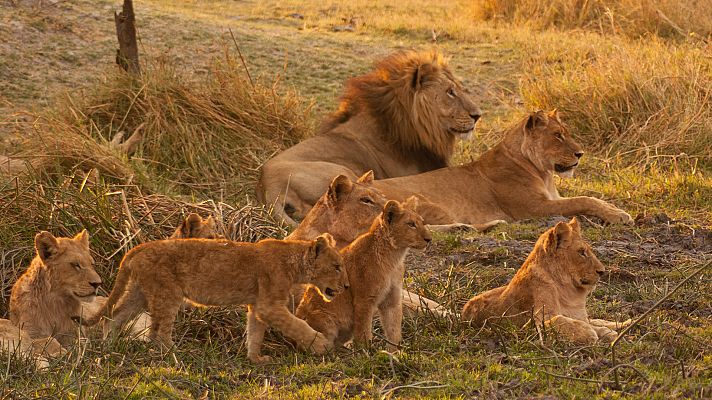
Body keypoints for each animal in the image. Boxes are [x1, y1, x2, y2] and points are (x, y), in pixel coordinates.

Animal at [82, 233, 349, 364]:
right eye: (336, 266)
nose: (346, 286)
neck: (295, 262)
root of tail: (137, 248)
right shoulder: (270, 305)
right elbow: (297, 325)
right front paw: (321, 345)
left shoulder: (258, 306)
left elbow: (255, 332)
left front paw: (256, 359)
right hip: (167, 294)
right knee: (157, 333)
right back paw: (178, 353)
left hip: (140, 294)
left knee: (115, 317)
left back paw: (109, 346)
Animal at [296, 198, 432, 349]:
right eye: (411, 224)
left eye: (422, 222)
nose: (429, 239)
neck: (394, 257)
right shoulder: (364, 299)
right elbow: (363, 330)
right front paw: (366, 352)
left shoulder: (392, 299)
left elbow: (394, 328)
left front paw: (395, 351)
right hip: (324, 318)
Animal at [370, 110, 633, 226]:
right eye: (557, 135)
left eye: (566, 133)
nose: (580, 154)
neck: (543, 173)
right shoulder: (533, 208)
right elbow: (583, 200)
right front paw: (620, 215)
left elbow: (592, 198)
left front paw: (615, 209)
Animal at [461, 218, 631, 345]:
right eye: (581, 252)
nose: (602, 271)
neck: (569, 291)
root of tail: (463, 311)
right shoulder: (536, 322)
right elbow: (560, 320)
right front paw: (589, 333)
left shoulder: (579, 315)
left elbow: (591, 323)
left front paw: (607, 332)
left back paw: (624, 323)